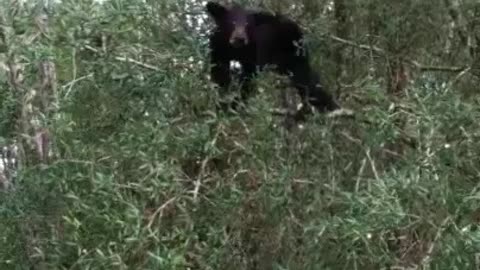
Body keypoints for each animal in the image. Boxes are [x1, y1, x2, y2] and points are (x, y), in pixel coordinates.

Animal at [206, 1, 342, 117]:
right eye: (232, 23)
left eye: (247, 25)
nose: (239, 38)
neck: (235, 49)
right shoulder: (217, 46)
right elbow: (219, 72)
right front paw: (222, 102)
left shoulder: (252, 53)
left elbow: (249, 76)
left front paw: (235, 104)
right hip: (290, 57)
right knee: (307, 80)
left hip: (281, 43)